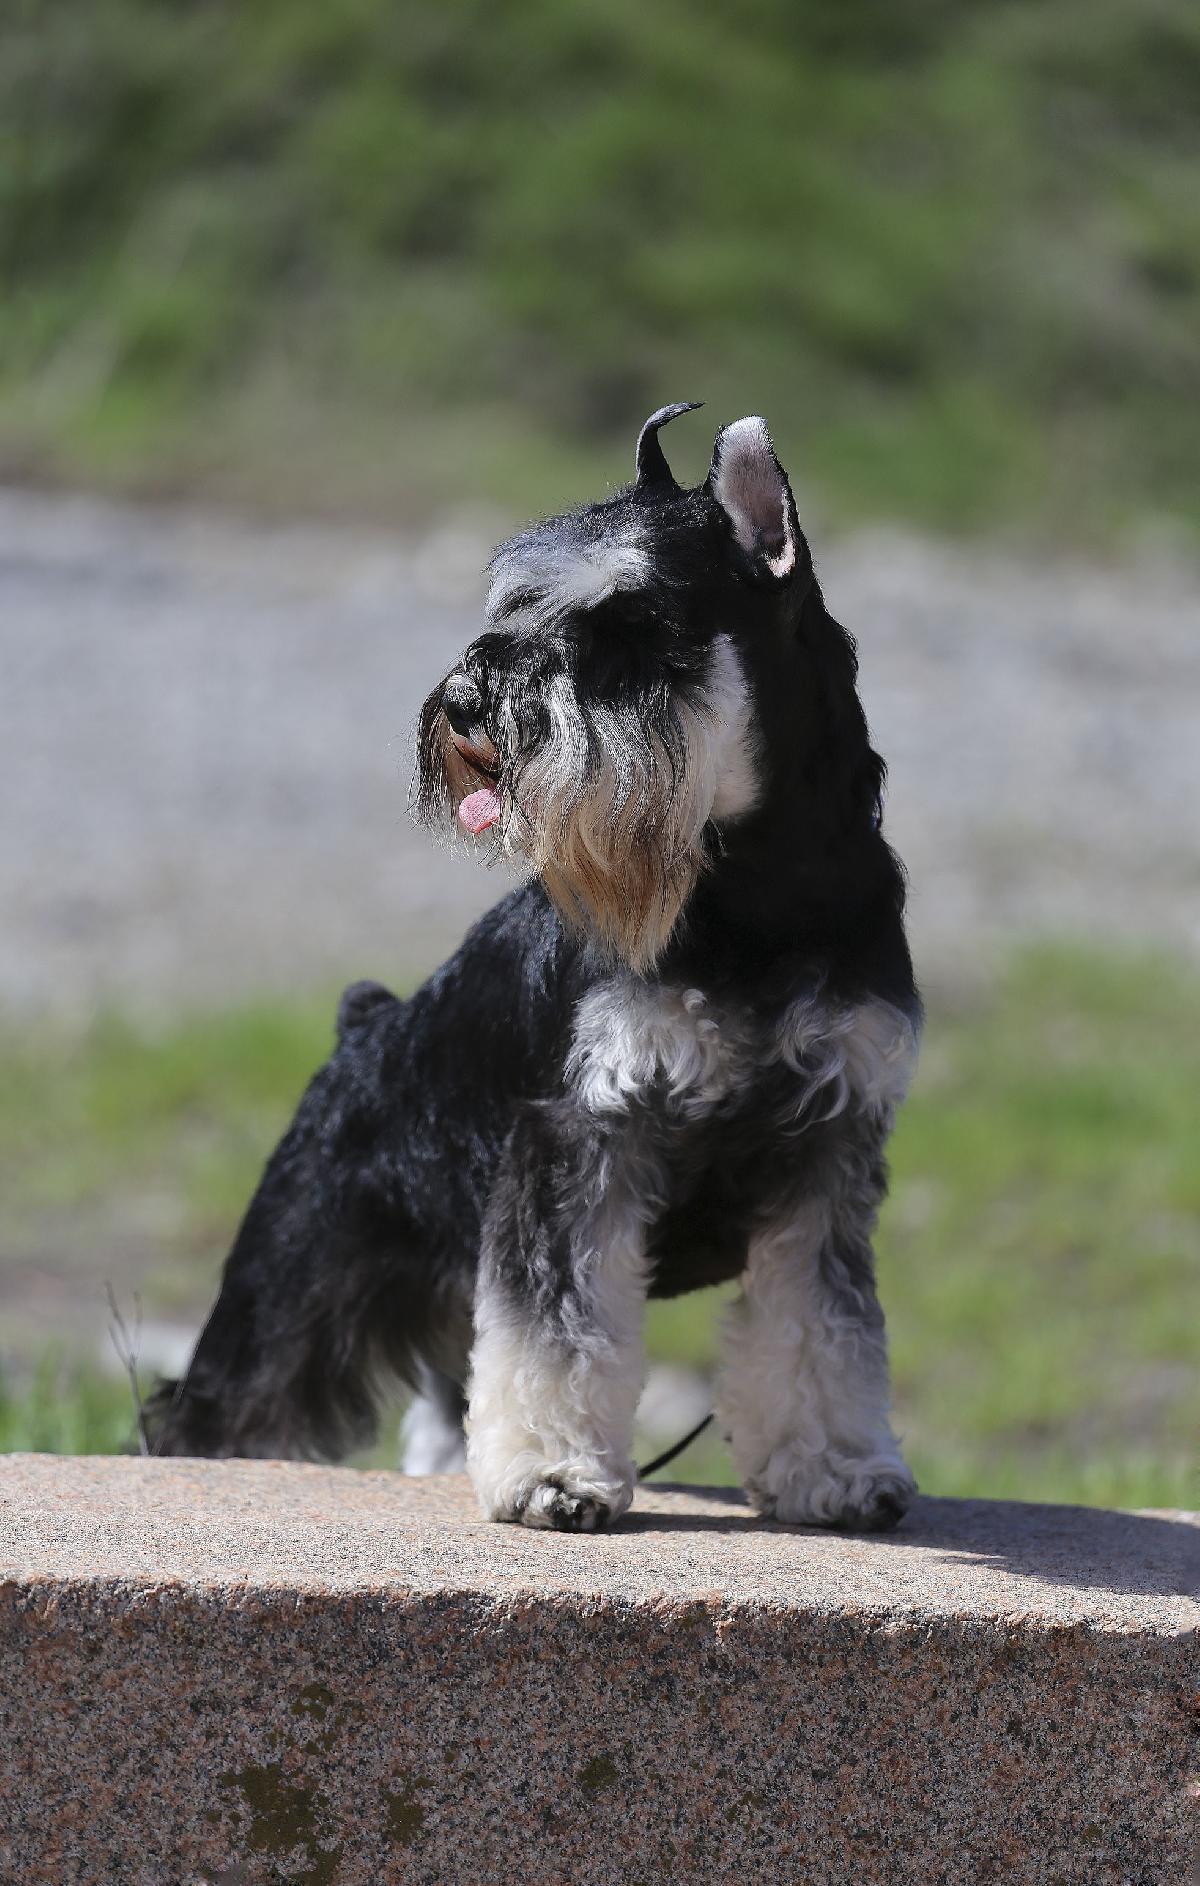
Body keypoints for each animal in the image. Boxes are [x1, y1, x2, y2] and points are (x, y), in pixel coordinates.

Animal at [150, 404, 921, 1533]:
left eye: (629, 621)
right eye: (514, 601)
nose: (466, 700)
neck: (753, 894)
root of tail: (364, 1024)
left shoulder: (827, 1150)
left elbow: (821, 1328)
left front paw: (836, 1466)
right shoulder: (576, 1138)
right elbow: (560, 1329)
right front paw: (554, 1475)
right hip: (296, 1280)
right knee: (212, 1403)